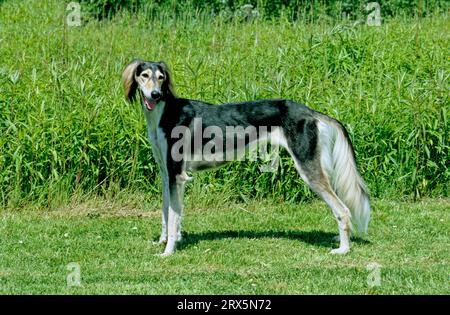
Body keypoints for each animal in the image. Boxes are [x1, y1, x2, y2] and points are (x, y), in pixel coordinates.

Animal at [121, 59, 370, 256]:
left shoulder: (177, 175)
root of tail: (310, 112)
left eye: (161, 78)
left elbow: (173, 217)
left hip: (309, 168)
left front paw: (168, 251)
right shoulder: (167, 174)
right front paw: (163, 240)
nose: (155, 94)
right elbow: (167, 213)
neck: (165, 112)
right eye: (144, 75)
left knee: (343, 210)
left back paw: (343, 249)